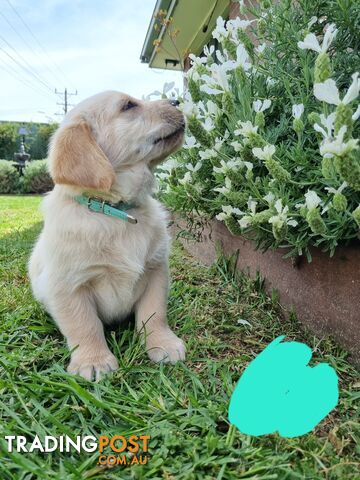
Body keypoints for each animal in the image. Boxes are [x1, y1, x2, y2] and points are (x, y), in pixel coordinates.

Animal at [28, 91, 186, 378]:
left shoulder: (156, 270)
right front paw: (93, 361)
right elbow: (84, 325)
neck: (116, 213)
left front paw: (163, 343)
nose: (177, 101)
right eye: (129, 106)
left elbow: (154, 314)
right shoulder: (68, 286)